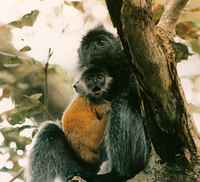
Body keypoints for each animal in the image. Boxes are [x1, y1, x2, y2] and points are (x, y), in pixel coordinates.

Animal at [24, 24, 150, 182]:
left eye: (101, 42)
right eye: (87, 46)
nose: (93, 48)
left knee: (121, 104)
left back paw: (119, 174)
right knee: (49, 131)